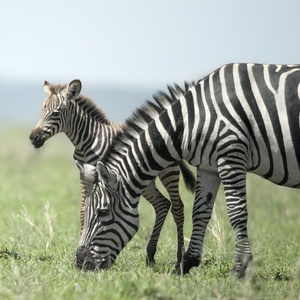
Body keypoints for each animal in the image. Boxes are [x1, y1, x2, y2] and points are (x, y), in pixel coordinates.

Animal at [29, 78, 196, 266]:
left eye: (56, 113)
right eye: (42, 111)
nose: (33, 138)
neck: (87, 141)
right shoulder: (84, 175)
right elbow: (84, 210)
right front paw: (77, 255)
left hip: (168, 172)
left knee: (177, 206)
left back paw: (179, 258)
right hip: (144, 179)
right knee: (162, 204)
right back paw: (150, 255)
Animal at [75, 63, 300, 276]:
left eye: (103, 212)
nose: (80, 263)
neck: (187, 122)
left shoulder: (231, 155)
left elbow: (237, 213)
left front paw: (240, 268)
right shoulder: (208, 166)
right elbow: (200, 211)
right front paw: (187, 263)